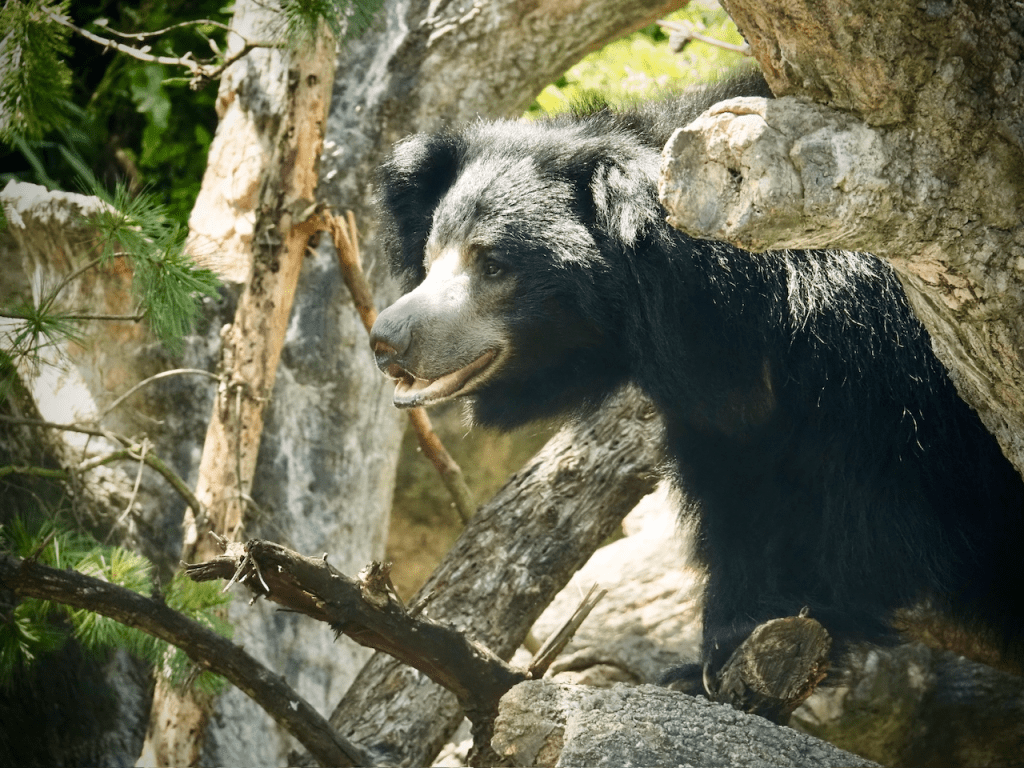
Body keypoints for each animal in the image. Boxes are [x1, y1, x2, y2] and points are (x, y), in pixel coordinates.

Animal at [368, 73, 1024, 687]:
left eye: (493, 263)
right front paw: (721, 648)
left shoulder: (886, 370)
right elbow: (745, 497)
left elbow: (874, 502)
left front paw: (819, 611)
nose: (386, 340)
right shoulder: (725, 408)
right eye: (431, 258)